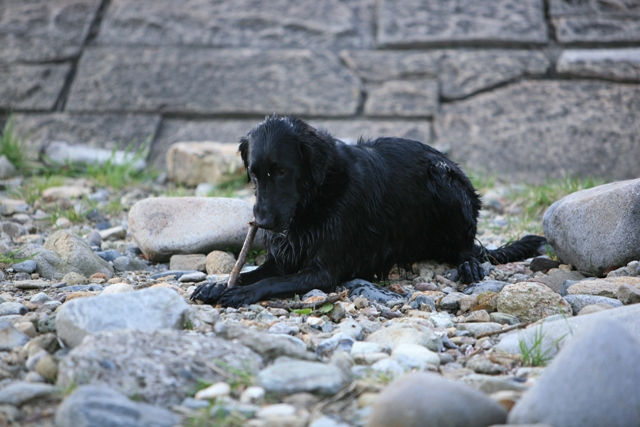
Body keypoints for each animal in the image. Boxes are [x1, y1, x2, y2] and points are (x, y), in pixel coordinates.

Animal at [191, 117, 544, 308]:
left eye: (281, 171)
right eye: (254, 174)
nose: (263, 223)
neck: (319, 196)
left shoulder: (324, 271)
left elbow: (268, 282)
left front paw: (241, 293)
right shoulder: (283, 256)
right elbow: (252, 272)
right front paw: (217, 286)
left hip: (445, 181)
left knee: (468, 247)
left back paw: (469, 265)